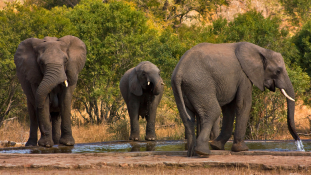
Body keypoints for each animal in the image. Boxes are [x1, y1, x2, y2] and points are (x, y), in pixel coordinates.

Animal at [172, 41, 302, 157]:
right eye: (278, 71)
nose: (299, 142)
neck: (261, 50)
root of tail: (179, 73)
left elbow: (229, 108)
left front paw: (217, 146)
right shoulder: (244, 76)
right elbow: (243, 104)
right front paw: (242, 149)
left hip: (183, 89)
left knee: (188, 118)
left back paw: (191, 154)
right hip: (200, 85)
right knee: (213, 112)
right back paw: (203, 153)